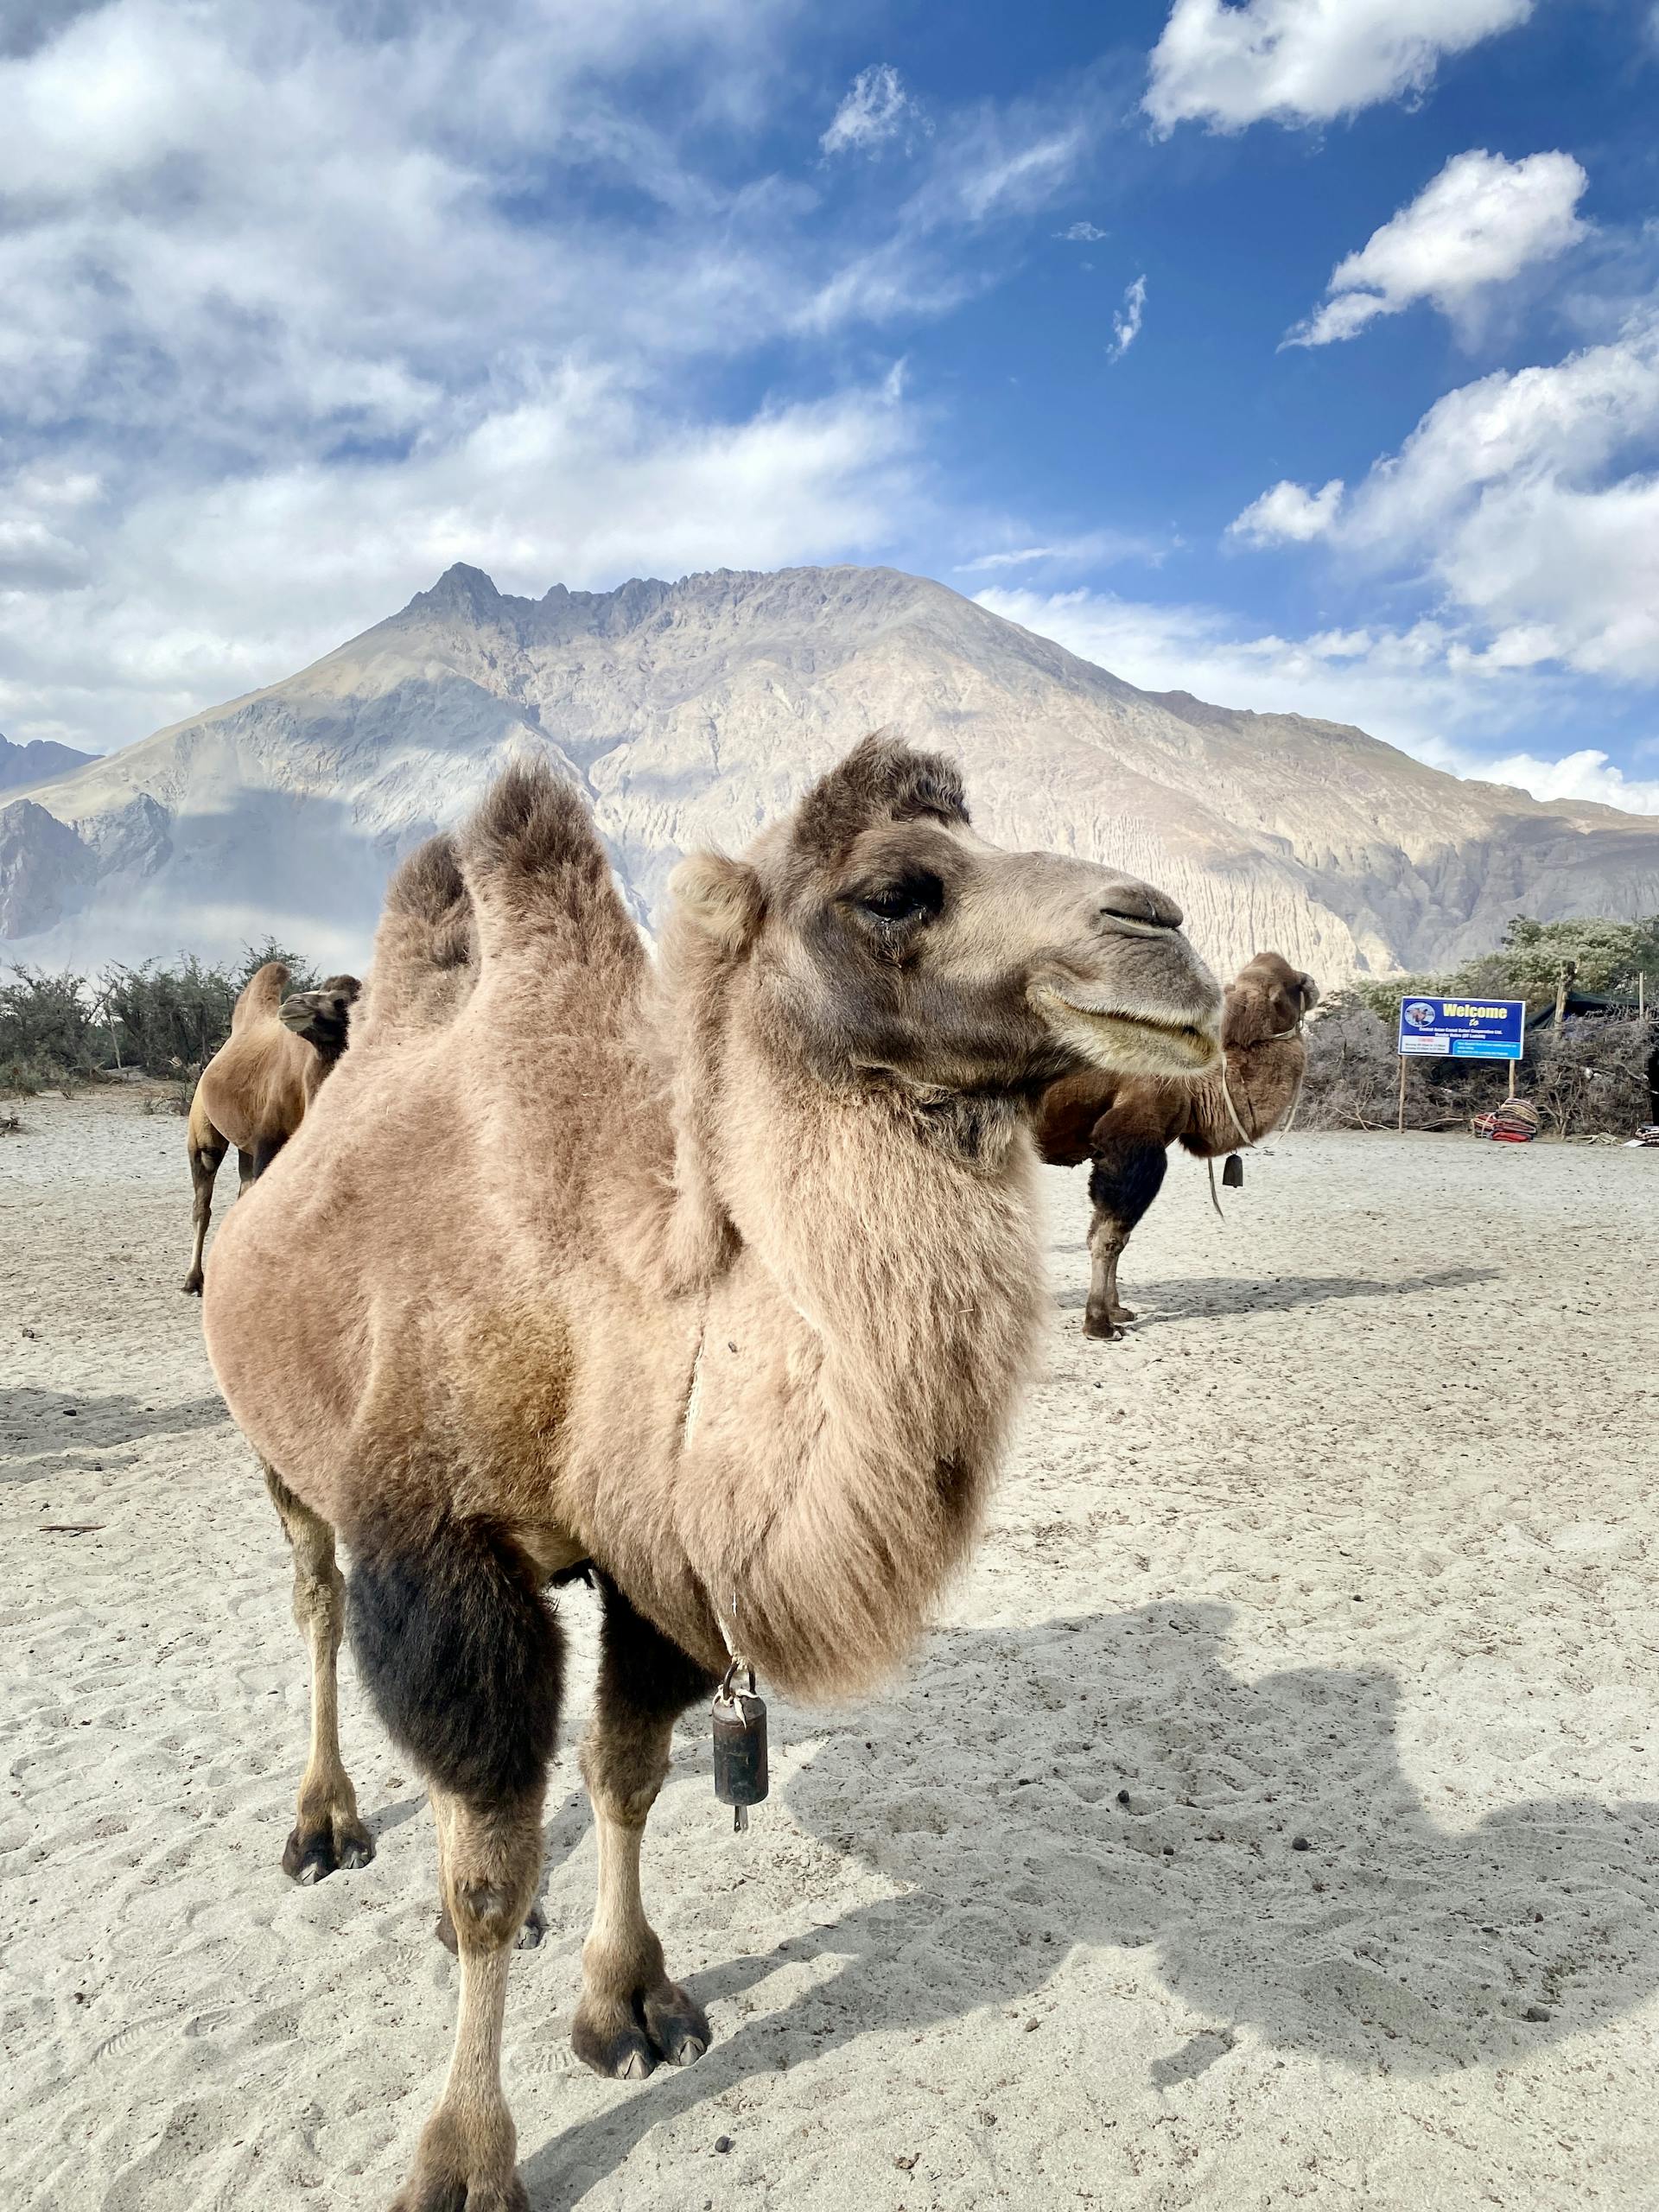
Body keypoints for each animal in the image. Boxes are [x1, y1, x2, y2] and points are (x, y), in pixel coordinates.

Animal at [181, 962, 360, 1294]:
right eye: (320, 989)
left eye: (341, 1002)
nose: (293, 1003)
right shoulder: (269, 1138)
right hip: (203, 1128)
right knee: (204, 1197)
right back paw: (193, 1279)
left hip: (246, 1148)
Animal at [200, 736, 1221, 2211]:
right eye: (897, 890)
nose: (1165, 934)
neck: (608, 1293)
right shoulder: (441, 1553)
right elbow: (482, 1879)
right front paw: (464, 2154)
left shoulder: (651, 1563)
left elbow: (623, 1773)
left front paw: (629, 2002)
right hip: (283, 1451)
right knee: (322, 1607)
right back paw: (325, 1825)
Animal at [1034, 950, 1319, 1340]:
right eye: (1291, 984)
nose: (1313, 982)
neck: (1196, 1084)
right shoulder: (1131, 1143)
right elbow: (1109, 1237)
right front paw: (1099, 1324)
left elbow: (1111, 1235)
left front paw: (1118, 1310)